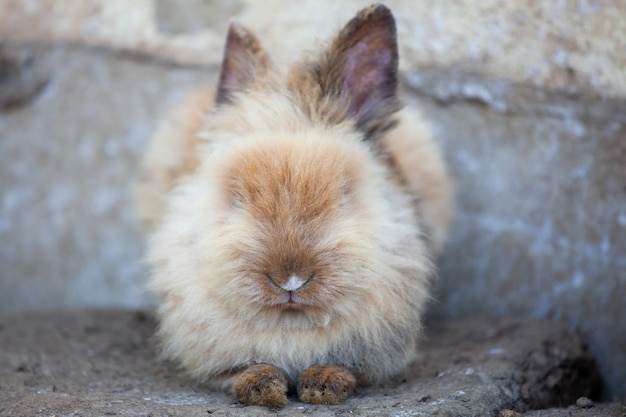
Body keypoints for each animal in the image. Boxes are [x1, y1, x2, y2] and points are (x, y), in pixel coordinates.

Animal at [134, 2, 450, 406]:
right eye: (236, 195)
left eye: (345, 194)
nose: (290, 279)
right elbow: (238, 370)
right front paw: (262, 387)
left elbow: (347, 369)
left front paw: (324, 385)